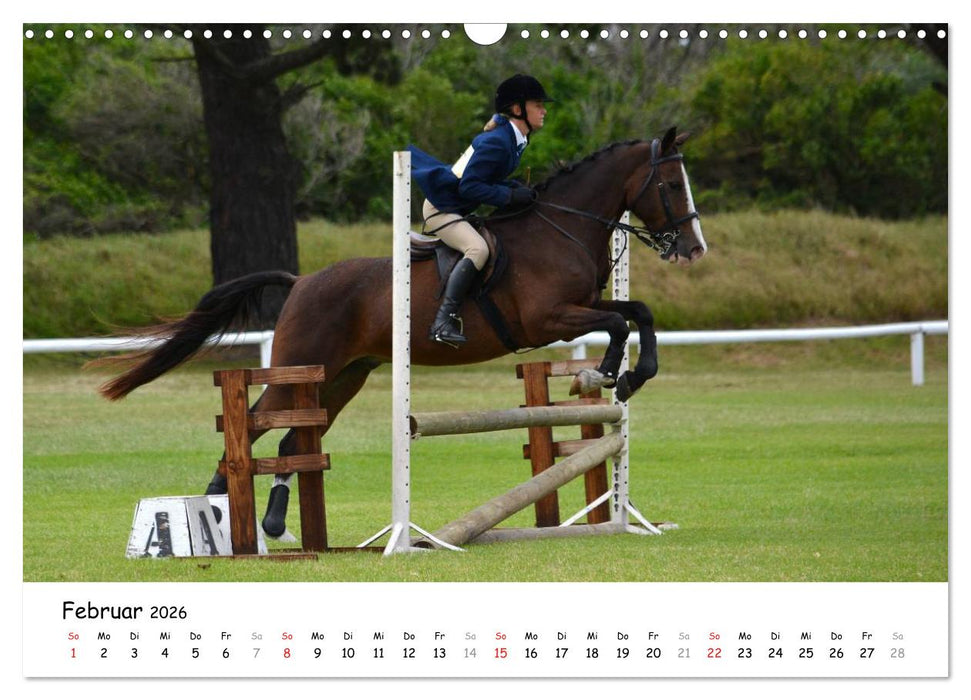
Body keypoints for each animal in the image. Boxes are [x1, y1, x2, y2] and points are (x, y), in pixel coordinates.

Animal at [96, 126, 707, 539]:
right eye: (671, 183)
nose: (693, 247)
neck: (562, 226)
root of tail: (301, 281)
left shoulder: (582, 305)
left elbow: (638, 313)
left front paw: (630, 377)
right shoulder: (548, 318)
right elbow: (616, 323)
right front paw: (600, 375)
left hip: (342, 378)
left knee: (293, 440)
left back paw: (271, 524)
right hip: (299, 369)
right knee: (252, 423)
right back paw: (218, 510)